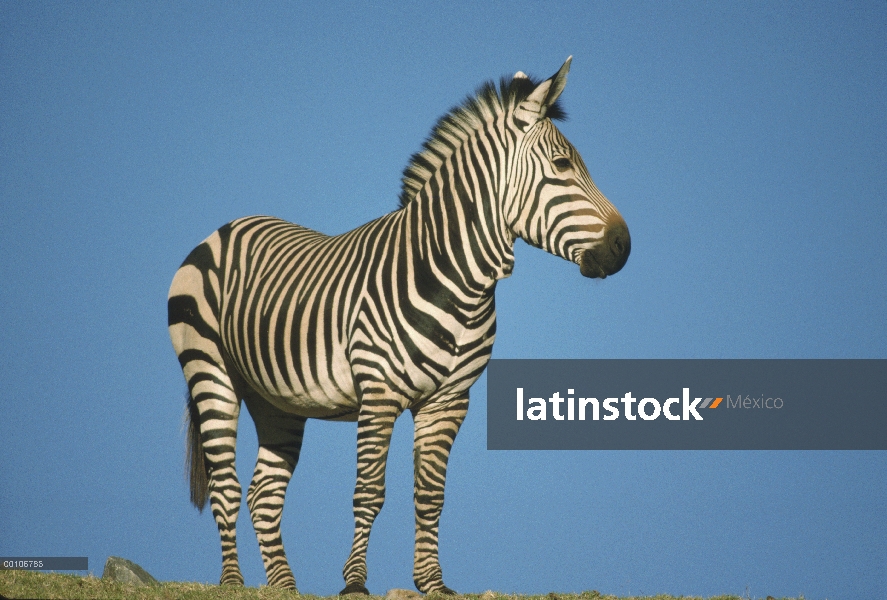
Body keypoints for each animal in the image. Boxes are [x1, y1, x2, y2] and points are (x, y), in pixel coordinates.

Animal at [168, 57, 632, 596]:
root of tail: (226, 227)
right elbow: (369, 491)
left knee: (264, 492)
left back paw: (283, 585)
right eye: (561, 166)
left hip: (276, 399)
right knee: (225, 484)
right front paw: (354, 583)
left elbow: (430, 495)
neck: (457, 278)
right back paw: (233, 581)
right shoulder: (380, 392)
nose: (623, 246)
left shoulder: (449, 400)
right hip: (210, 371)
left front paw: (433, 582)